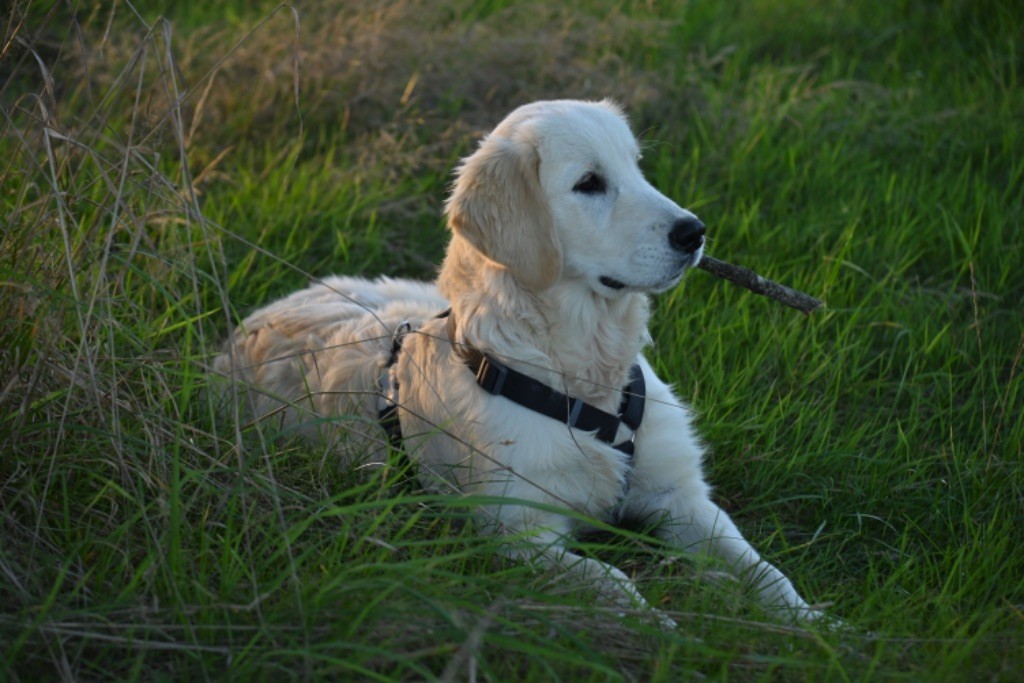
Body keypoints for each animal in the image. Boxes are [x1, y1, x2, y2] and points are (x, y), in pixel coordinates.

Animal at [216, 98, 823, 626]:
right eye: (589, 183)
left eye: (637, 168)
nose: (694, 232)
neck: (583, 382)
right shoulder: (519, 531)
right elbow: (610, 582)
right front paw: (662, 631)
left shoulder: (680, 495)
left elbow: (764, 571)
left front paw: (818, 627)